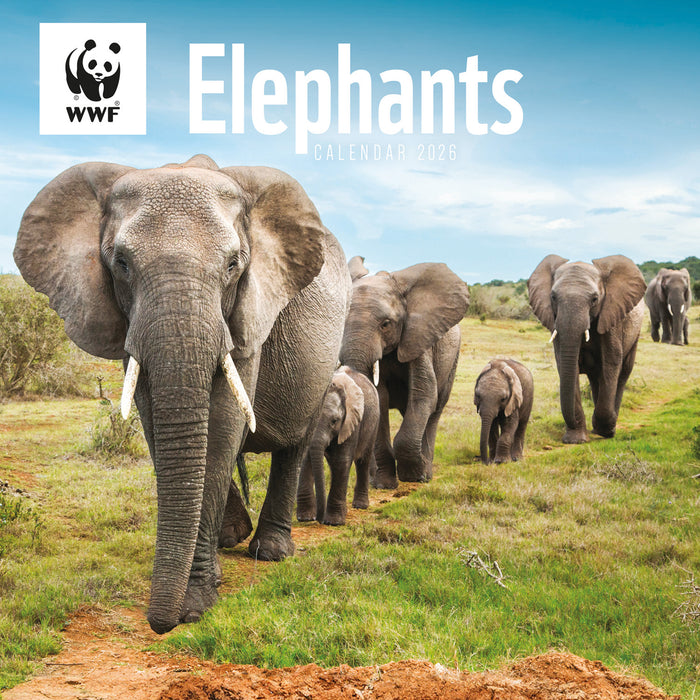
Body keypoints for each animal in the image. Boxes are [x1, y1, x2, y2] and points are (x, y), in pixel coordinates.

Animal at [13, 155, 352, 634]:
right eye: (121, 263)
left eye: (233, 264)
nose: (158, 623)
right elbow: (158, 421)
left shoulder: (247, 313)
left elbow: (223, 425)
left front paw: (193, 605)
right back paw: (234, 537)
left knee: (296, 444)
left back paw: (269, 551)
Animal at [296, 366, 379, 526]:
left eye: (334, 421)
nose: (319, 519)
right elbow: (305, 458)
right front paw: (305, 518)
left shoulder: (352, 421)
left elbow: (342, 461)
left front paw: (333, 522)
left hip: (374, 421)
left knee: (362, 461)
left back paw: (360, 506)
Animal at [339, 262, 470, 487]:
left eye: (385, 324)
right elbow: (380, 399)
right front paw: (383, 484)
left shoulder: (418, 338)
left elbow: (424, 394)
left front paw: (414, 477)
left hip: (452, 359)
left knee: (436, 410)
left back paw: (426, 473)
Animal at [528, 254, 646, 444]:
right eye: (553, 297)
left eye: (595, 299)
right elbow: (566, 364)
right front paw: (575, 440)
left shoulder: (612, 316)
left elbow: (611, 362)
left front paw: (606, 431)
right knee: (595, 377)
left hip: (635, 333)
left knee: (622, 373)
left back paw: (609, 425)